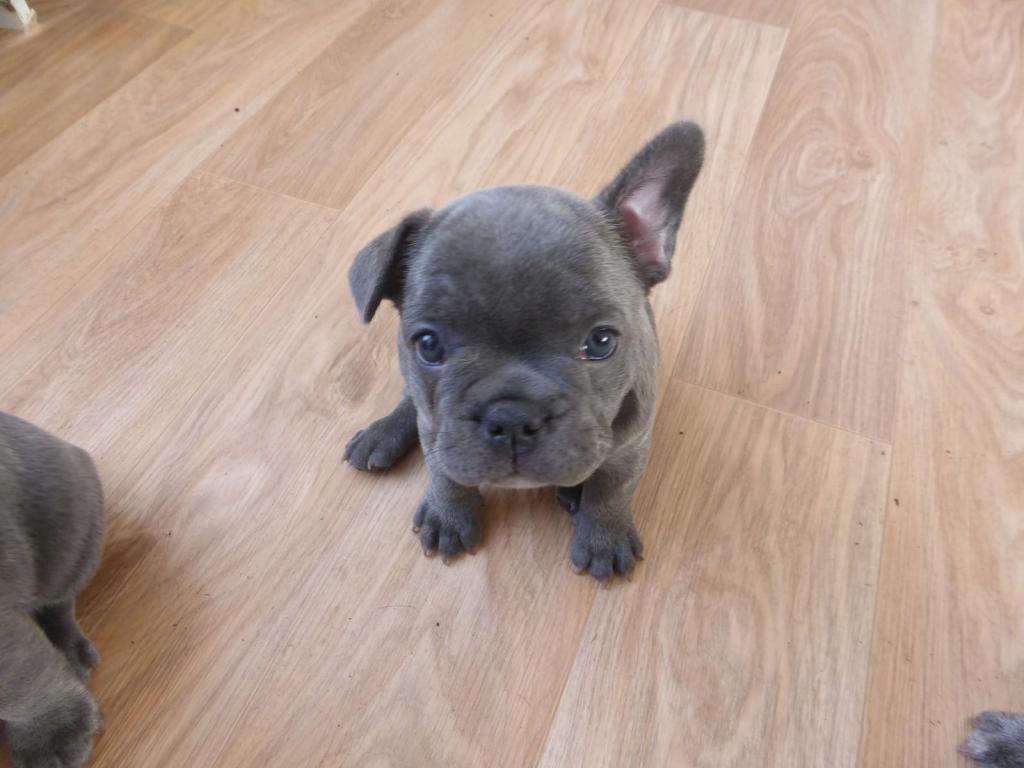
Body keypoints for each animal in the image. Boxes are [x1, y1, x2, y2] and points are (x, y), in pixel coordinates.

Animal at [344, 122, 704, 582]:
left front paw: (603, 539)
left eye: (601, 342)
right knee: (412, 402)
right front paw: (448, 515)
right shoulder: (437, 430)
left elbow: (611, 490)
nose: (512, 417)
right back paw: (381, 434)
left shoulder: (631, 446)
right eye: (429, 345)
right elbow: (446, 472)